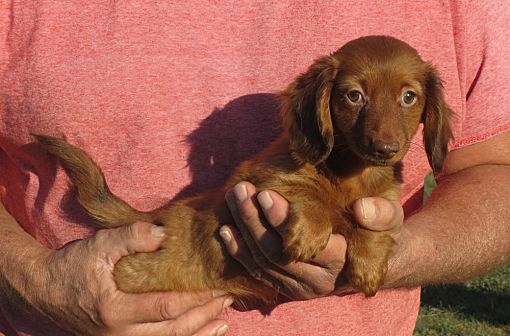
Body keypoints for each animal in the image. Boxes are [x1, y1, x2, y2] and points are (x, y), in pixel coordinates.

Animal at [35, 35, 452, 308]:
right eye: (354, 95)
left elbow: (373, 222)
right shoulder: (264, 177)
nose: (384, 149)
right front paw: (310, 232)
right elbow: (308, 191)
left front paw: (369, 266)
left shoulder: (382, 199)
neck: (351, 173)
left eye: (409, 97)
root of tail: (167, 214)